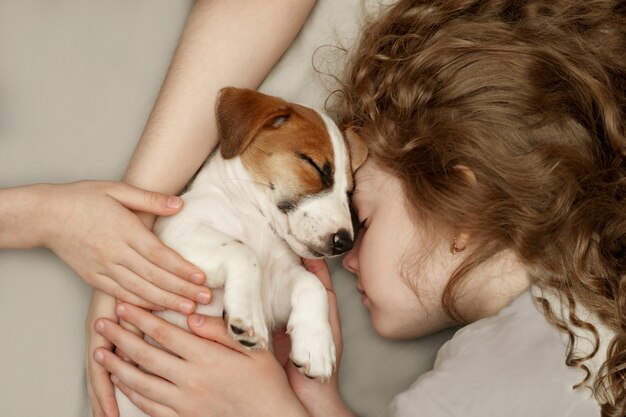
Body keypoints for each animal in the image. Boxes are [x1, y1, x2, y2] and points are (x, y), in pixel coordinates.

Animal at [114, 86, 366, 414]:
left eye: (349, 191)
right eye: (313, 165)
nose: (346, 242)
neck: (254, 217)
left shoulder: (276, 288)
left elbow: (312, 284)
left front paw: (316, 343)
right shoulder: (177, 236)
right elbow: (242, 251)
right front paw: (247, 313)